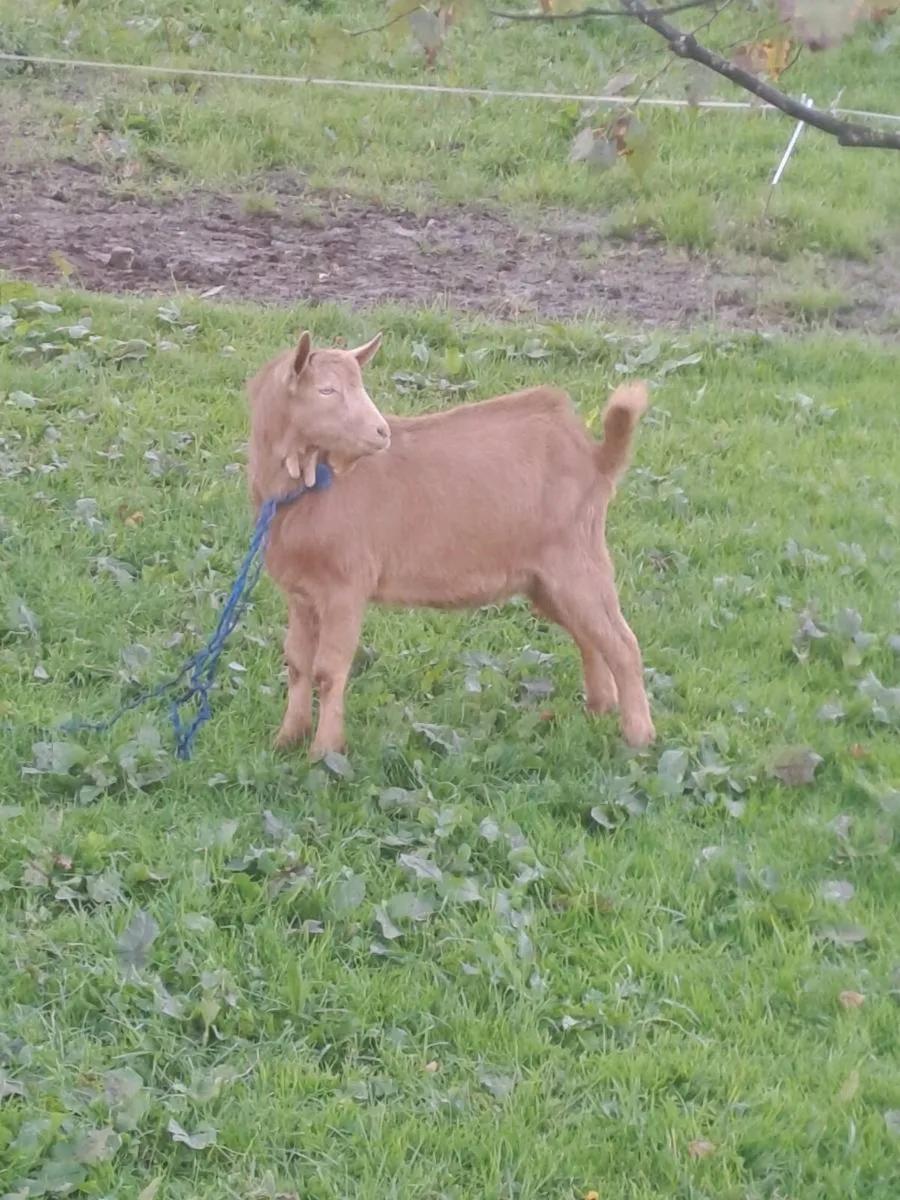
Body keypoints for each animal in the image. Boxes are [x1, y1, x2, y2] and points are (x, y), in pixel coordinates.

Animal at [246, 330, 655, 760]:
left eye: (360, 385)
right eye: (327, 389)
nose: (381, 432)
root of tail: (595, 458)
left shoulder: (345, 588)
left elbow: (328, 670)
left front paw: (324, 754)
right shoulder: (300, 592)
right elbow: (297, 662)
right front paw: (287, 739)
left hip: (578, 560)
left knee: (622, 643)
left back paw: (639, 736)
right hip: (545, 581)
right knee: (589, 636)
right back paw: (599, 707)